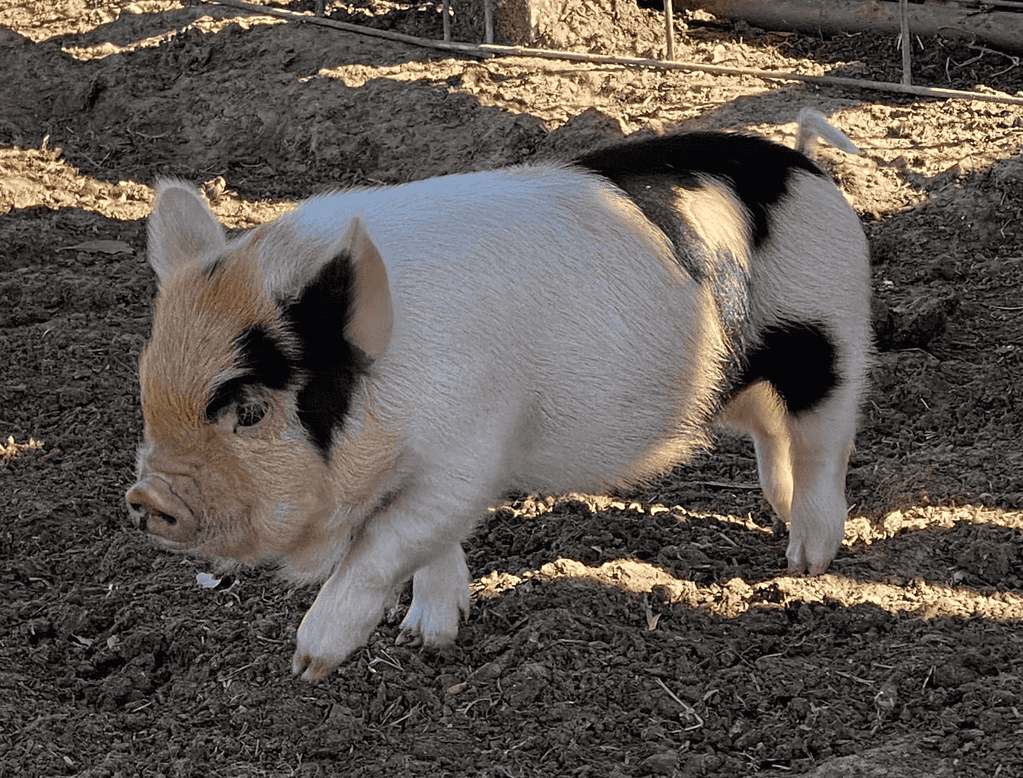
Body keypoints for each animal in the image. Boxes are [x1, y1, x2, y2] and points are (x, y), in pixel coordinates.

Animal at [123, 112, 867, 678]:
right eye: (147, 393)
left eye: (249, 410)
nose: (146, 497)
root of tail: (803, 165)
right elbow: (428, 542)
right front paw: (427, 638)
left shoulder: (472, 447)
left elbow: (389, 541)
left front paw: (308, 664)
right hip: (735, 379)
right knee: (770, 429)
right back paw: (778, 513)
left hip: (829, 329)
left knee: (825, 436)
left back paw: (807, 559)